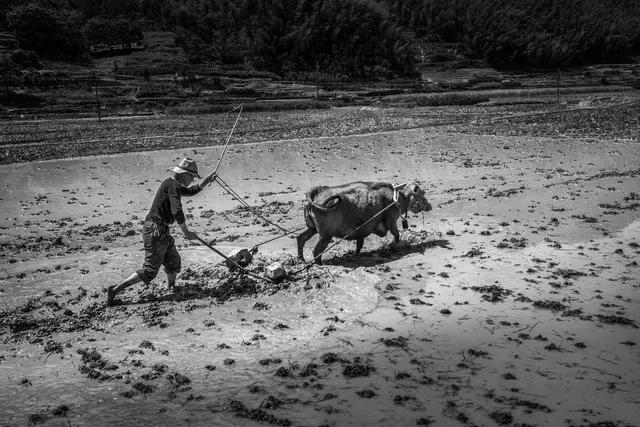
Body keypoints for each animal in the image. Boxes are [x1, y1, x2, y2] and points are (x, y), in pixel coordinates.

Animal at [298, 181, 432, 264]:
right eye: (423, 193)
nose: (430, 206)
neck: (398, 197)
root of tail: (317, 192)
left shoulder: (361, 232)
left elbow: (359, 245)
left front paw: (356, 254)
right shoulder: (391, 221)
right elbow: (397, 234)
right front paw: (397, 245)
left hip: (311, 228)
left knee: (301, 238)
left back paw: (301, 259)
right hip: (326, 235)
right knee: (316, 251)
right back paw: (319, 264)